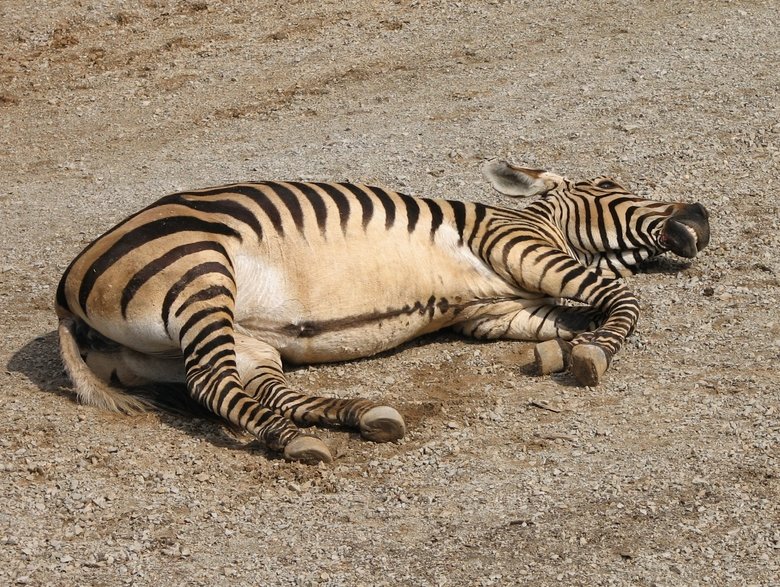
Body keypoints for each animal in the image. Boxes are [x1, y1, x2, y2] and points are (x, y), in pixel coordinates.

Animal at [55, 160, 710, 463]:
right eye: (611, 183)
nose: (702, 215)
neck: (541, 223)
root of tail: (65, 290)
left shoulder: (492, 314)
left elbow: (575, 316)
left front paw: (562, 349)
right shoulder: (518, 247)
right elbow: (624, 298)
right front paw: (593, 354)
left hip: (230, 343)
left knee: (255, 387)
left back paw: (363, 416)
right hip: (202, 272)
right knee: (208, 381)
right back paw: (297, 440)